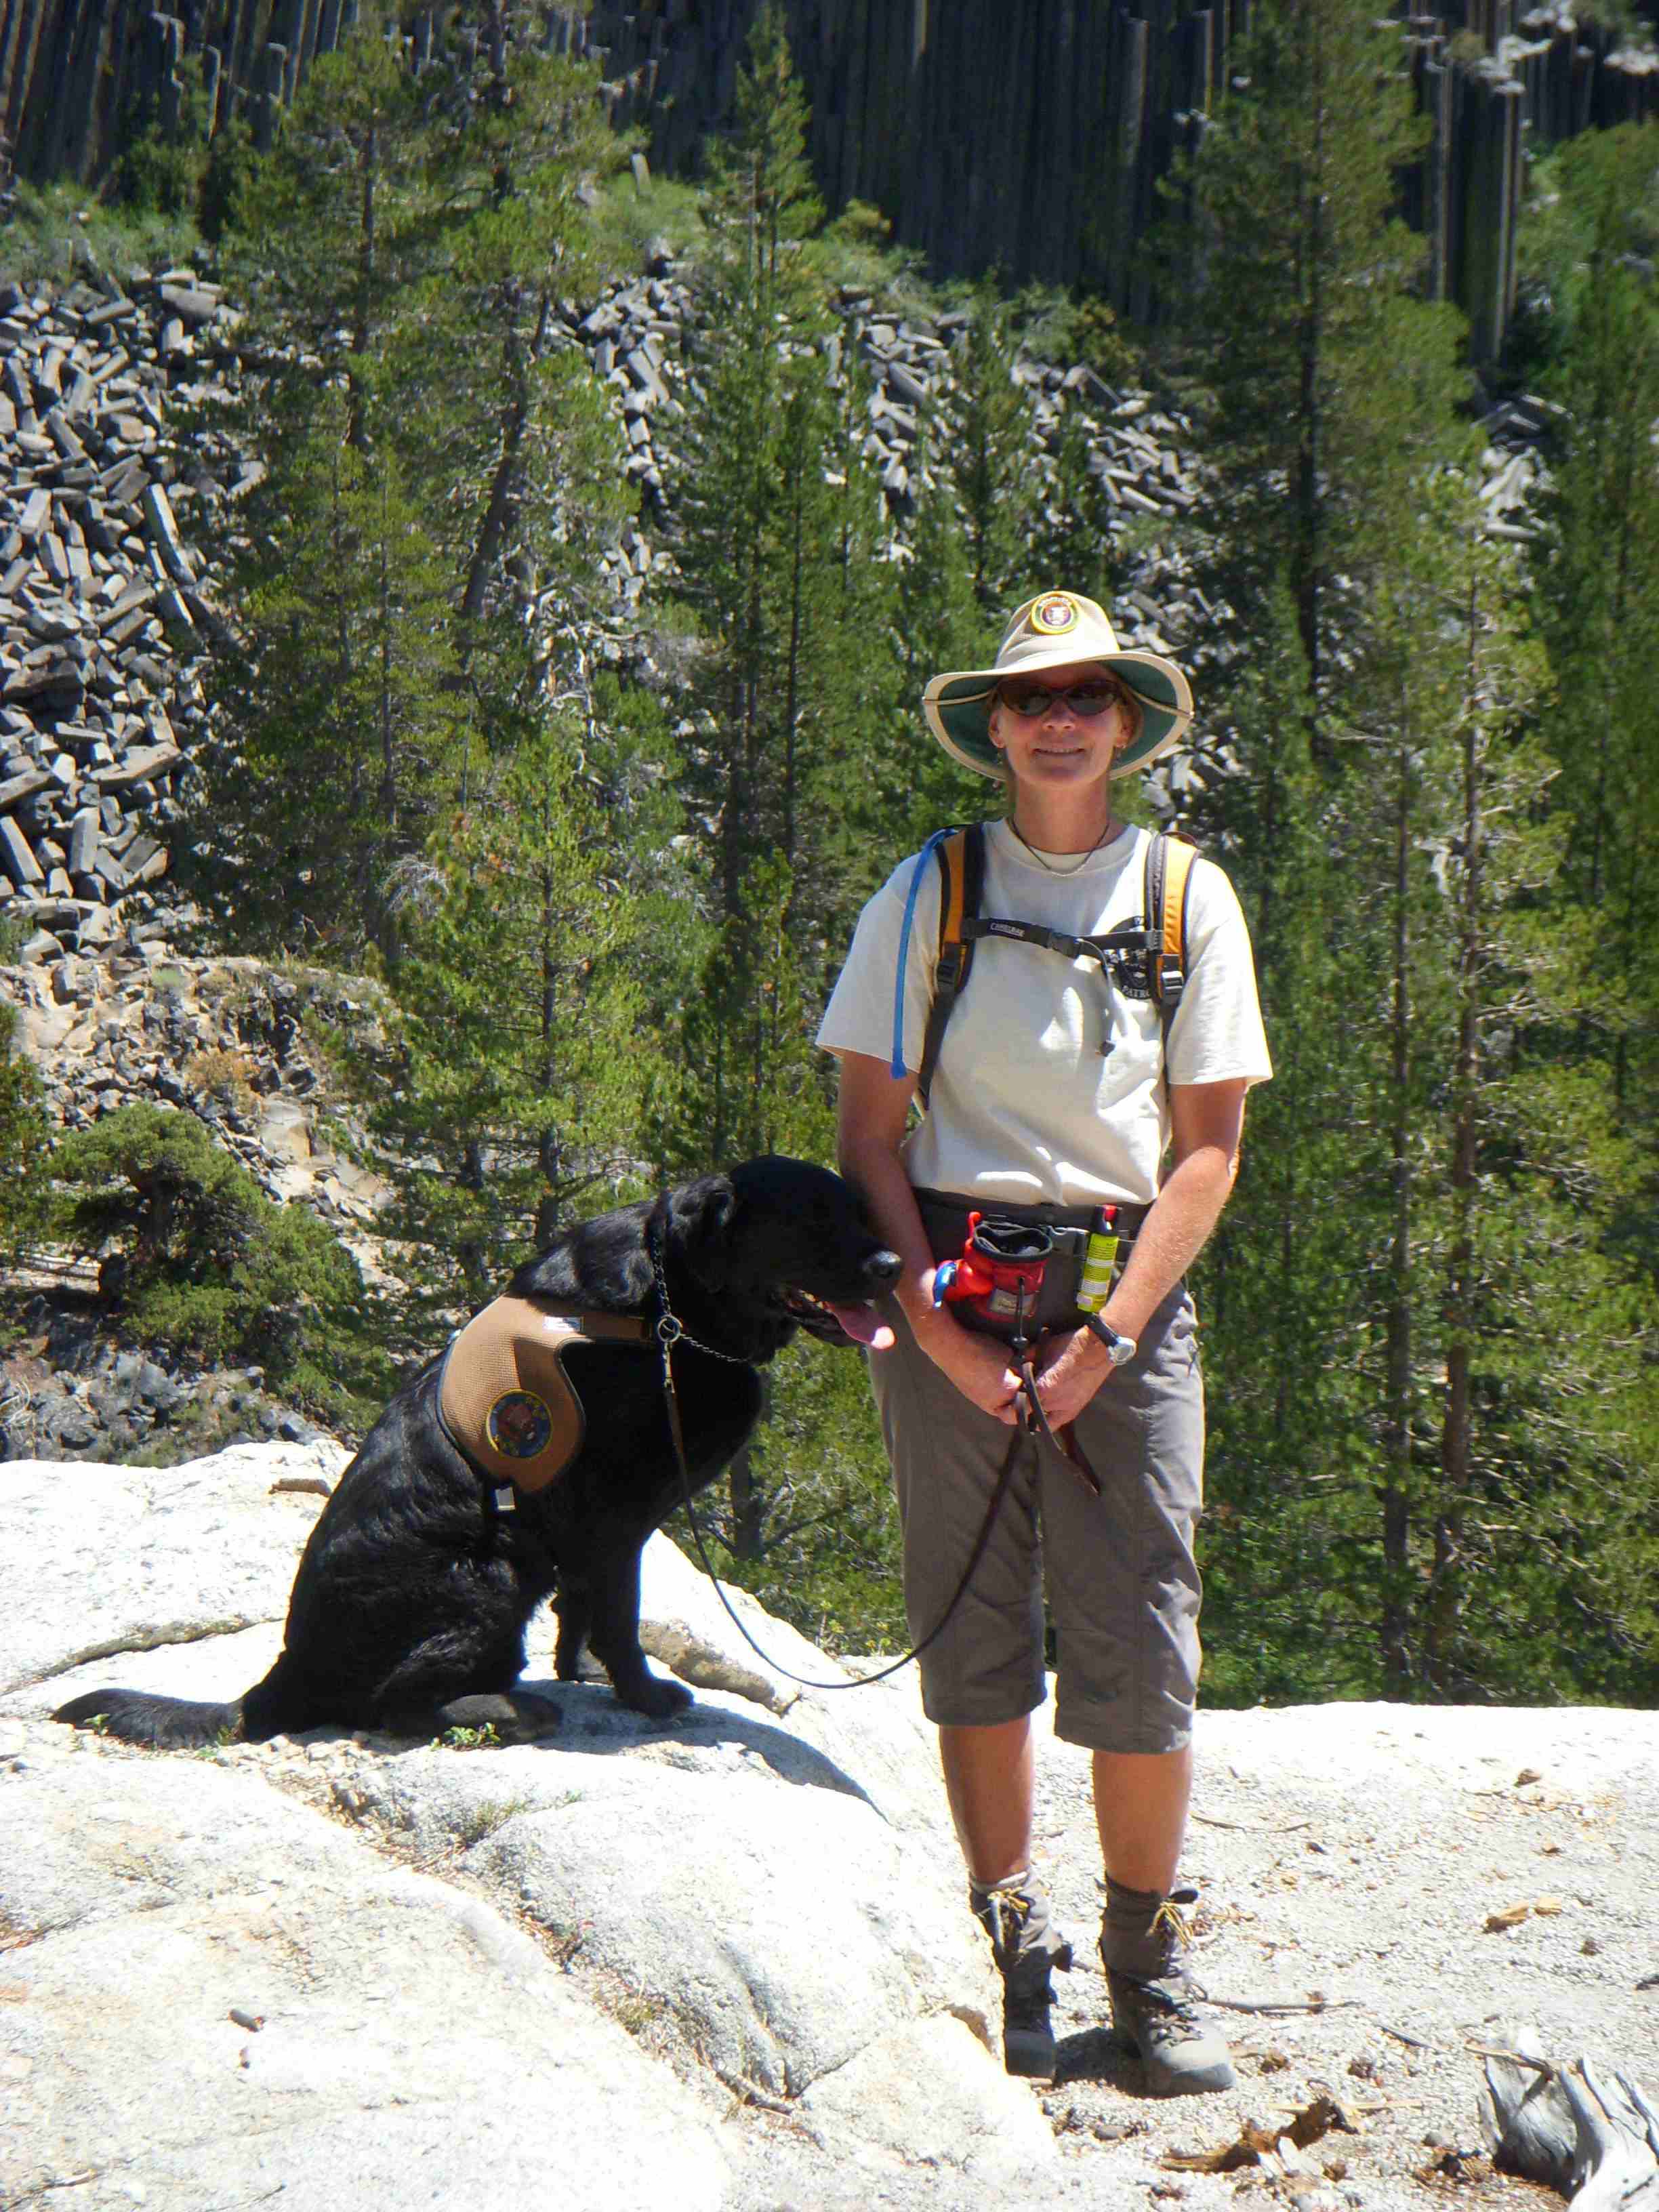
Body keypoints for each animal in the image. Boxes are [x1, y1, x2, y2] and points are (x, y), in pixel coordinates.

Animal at [55, 1168, 898, 1752]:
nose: (893, 1265)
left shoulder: (587, 1528)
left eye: (860, 1211)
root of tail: (285, 1672)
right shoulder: (616, 1515)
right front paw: (643, 1695)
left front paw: (584, 1670)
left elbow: (584, 1612)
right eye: (812, 1218)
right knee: (391, 1707)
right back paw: (510, 1709)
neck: (672, 1307)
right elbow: (619, 1617)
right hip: (487, 1571)